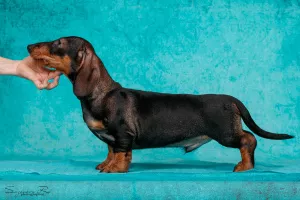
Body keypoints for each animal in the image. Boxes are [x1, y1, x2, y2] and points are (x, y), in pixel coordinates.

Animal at [27, 36, 294, 173]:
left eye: (59, 43)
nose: (29, 46)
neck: (101, 94)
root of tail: (231, 99)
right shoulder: (112, 138)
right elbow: (111, 151)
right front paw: (106, 164)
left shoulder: (122, 134)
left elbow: (121, 153)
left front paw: (115, 169)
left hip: (226, 133)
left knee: (249, 139)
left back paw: (245, 165)